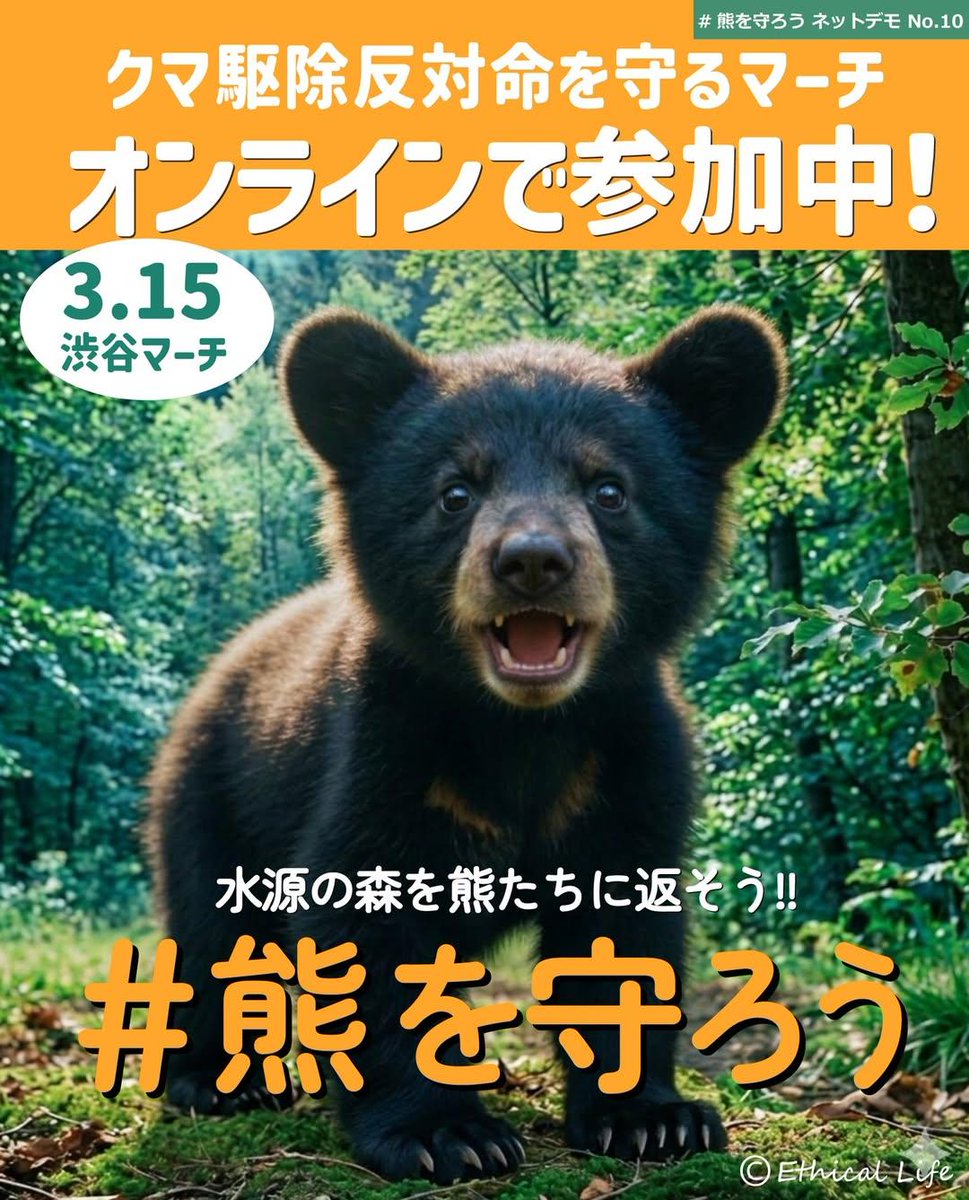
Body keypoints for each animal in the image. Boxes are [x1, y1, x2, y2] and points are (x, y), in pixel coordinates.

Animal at [147, 302, 786, 1183]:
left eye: (608, 488)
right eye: (455, 491)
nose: (532, 561)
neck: (521, 725)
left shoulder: (627, 761)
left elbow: (625, 936)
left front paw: (654, 1118)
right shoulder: (383, 752)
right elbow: (366, 931)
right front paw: (445, 1132)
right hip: (215, 795)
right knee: (211, 935)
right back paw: (216, 1078)